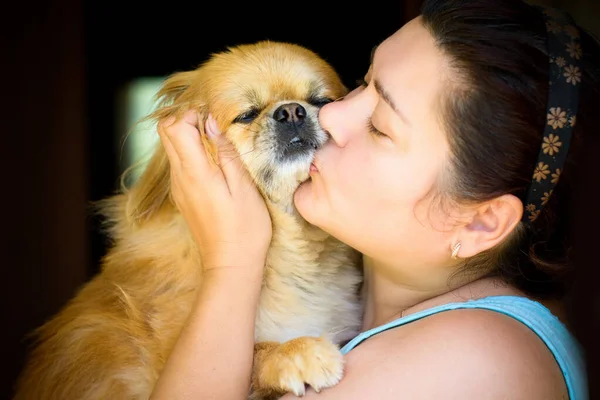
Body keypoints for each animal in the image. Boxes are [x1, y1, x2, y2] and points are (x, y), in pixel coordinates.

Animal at [12, 41, 360, 400]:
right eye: (247, 115)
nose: (291, 111)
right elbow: (250, 354)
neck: (289, 254)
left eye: (321, 102)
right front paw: (294, 352)